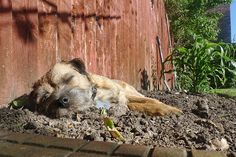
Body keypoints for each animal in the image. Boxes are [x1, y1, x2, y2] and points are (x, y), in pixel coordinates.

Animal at [25, 57, 182, 118]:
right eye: (46, 97)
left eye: (68, 79)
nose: (61, 101)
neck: (98, 96)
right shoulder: (125, 102)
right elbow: (140, 106)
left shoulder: (123, 95)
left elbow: (151, 101)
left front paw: (169, 108)